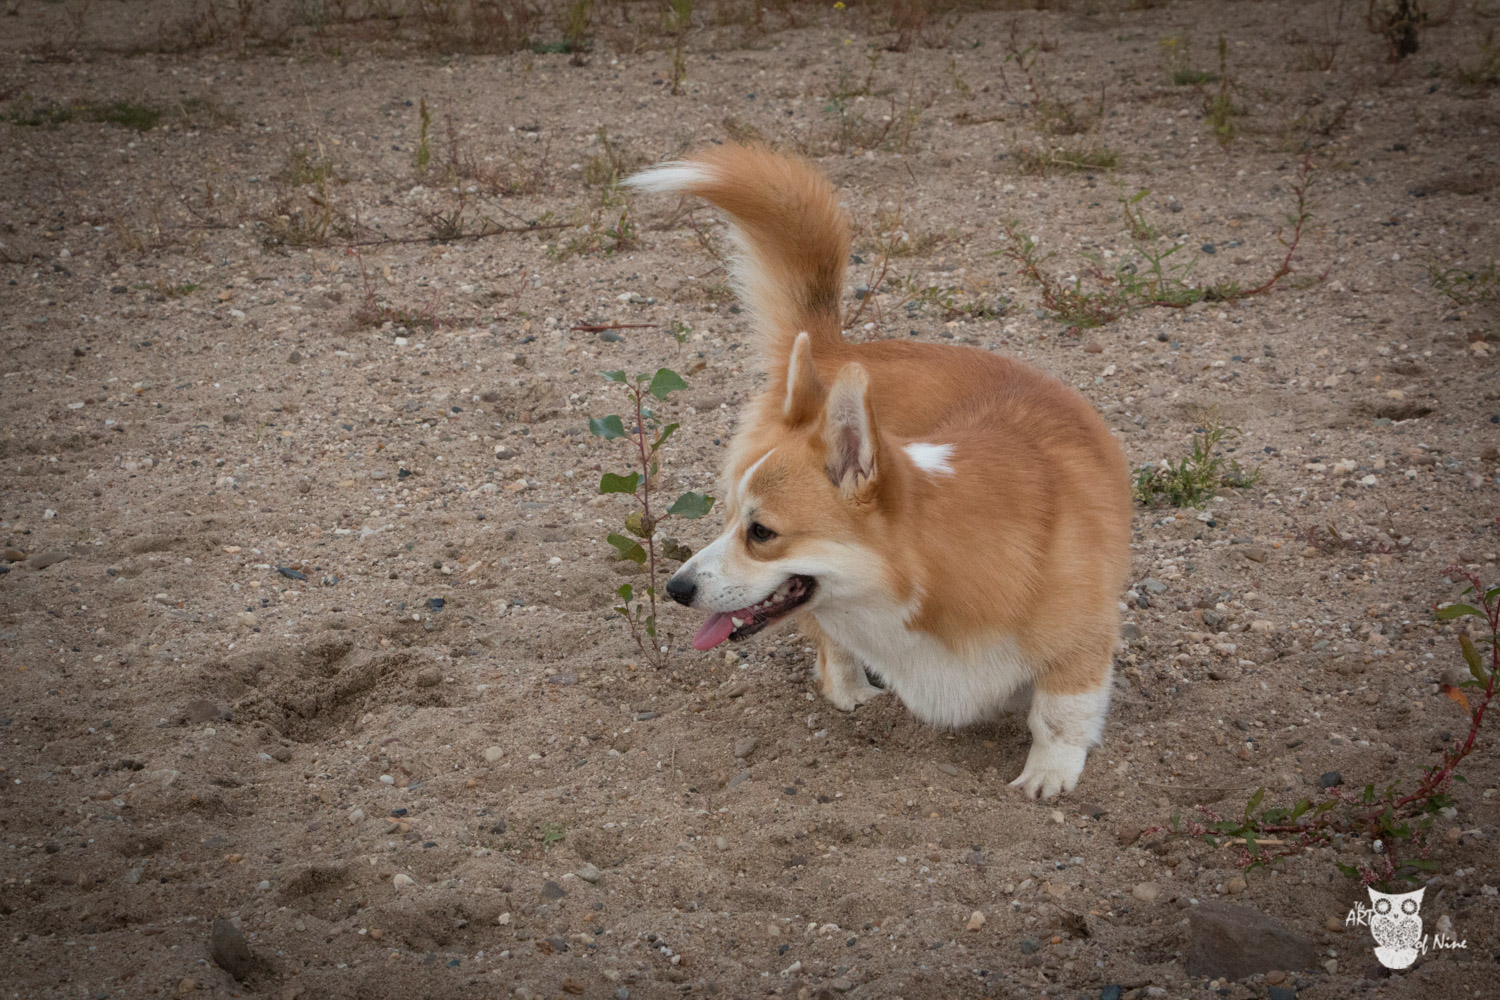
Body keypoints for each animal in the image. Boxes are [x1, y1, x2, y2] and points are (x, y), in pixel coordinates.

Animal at [625, 145, 1131, 799]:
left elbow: (1061, 711)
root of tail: (837, 348)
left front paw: (1047, 776)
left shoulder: (1083, 640)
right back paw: (853, 692)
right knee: (828, 644)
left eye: (760, 532)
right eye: (734, 519)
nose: (675, 589)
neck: (941, 564)